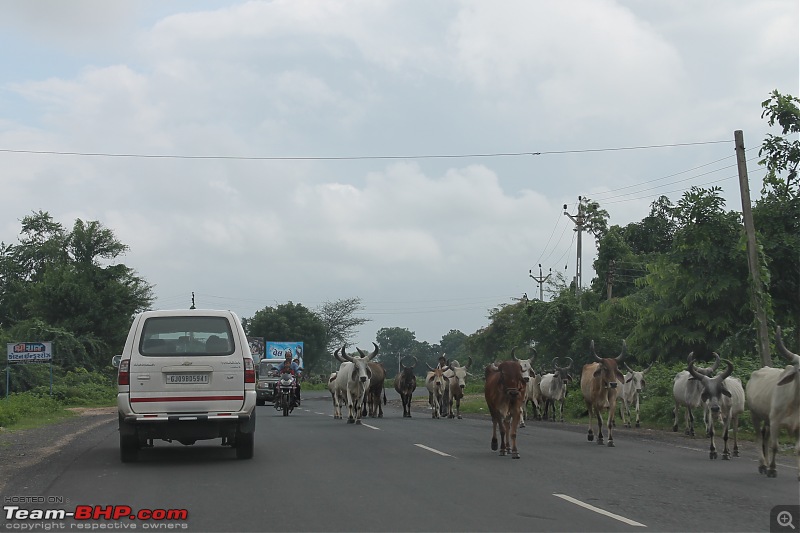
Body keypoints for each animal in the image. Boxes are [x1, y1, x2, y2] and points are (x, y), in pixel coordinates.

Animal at [748, 326, 796, 480]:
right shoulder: (775, 421)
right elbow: (775, 446)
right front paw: (772, 470)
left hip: (767, 419)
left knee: (765, 437)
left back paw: (766, 464)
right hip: (755, 414)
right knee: (759, 437)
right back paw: (763, 465)